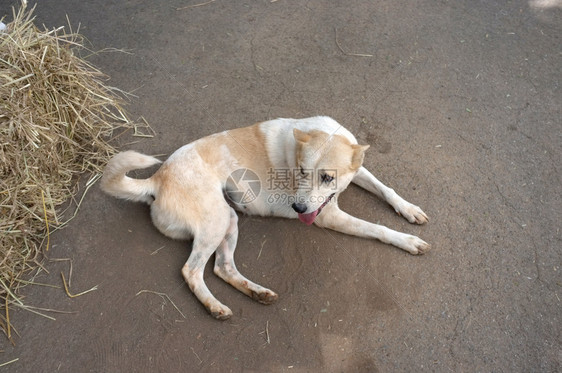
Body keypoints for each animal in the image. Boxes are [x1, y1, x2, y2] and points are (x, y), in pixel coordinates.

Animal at [100, 115, 426, 316]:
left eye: (327, 177)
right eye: (302, 172)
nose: (298, 209)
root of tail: (156, 179)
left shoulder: (357, 172)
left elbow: (384, 188)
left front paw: (409, 209)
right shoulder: (327, 215)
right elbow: (377, 227)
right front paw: (407, 240)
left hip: (229, 221)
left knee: (222, 268)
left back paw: (257, 293)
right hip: (216, 221)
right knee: (191, 270)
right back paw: (215, 307)